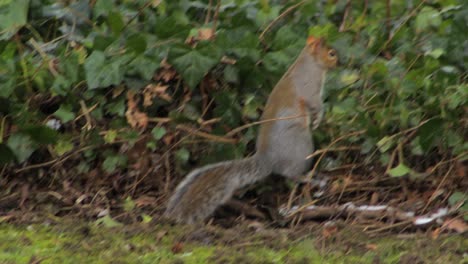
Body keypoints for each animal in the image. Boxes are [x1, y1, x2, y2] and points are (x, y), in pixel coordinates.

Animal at [164, 36, 336, 224]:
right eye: (331, 53)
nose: (339, 62)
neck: (310, 63)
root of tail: (267, 160)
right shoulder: (309, 87)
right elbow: (315, 104)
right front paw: (318, 118)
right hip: (302, 143)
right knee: (290, 174)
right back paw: (307, 177)